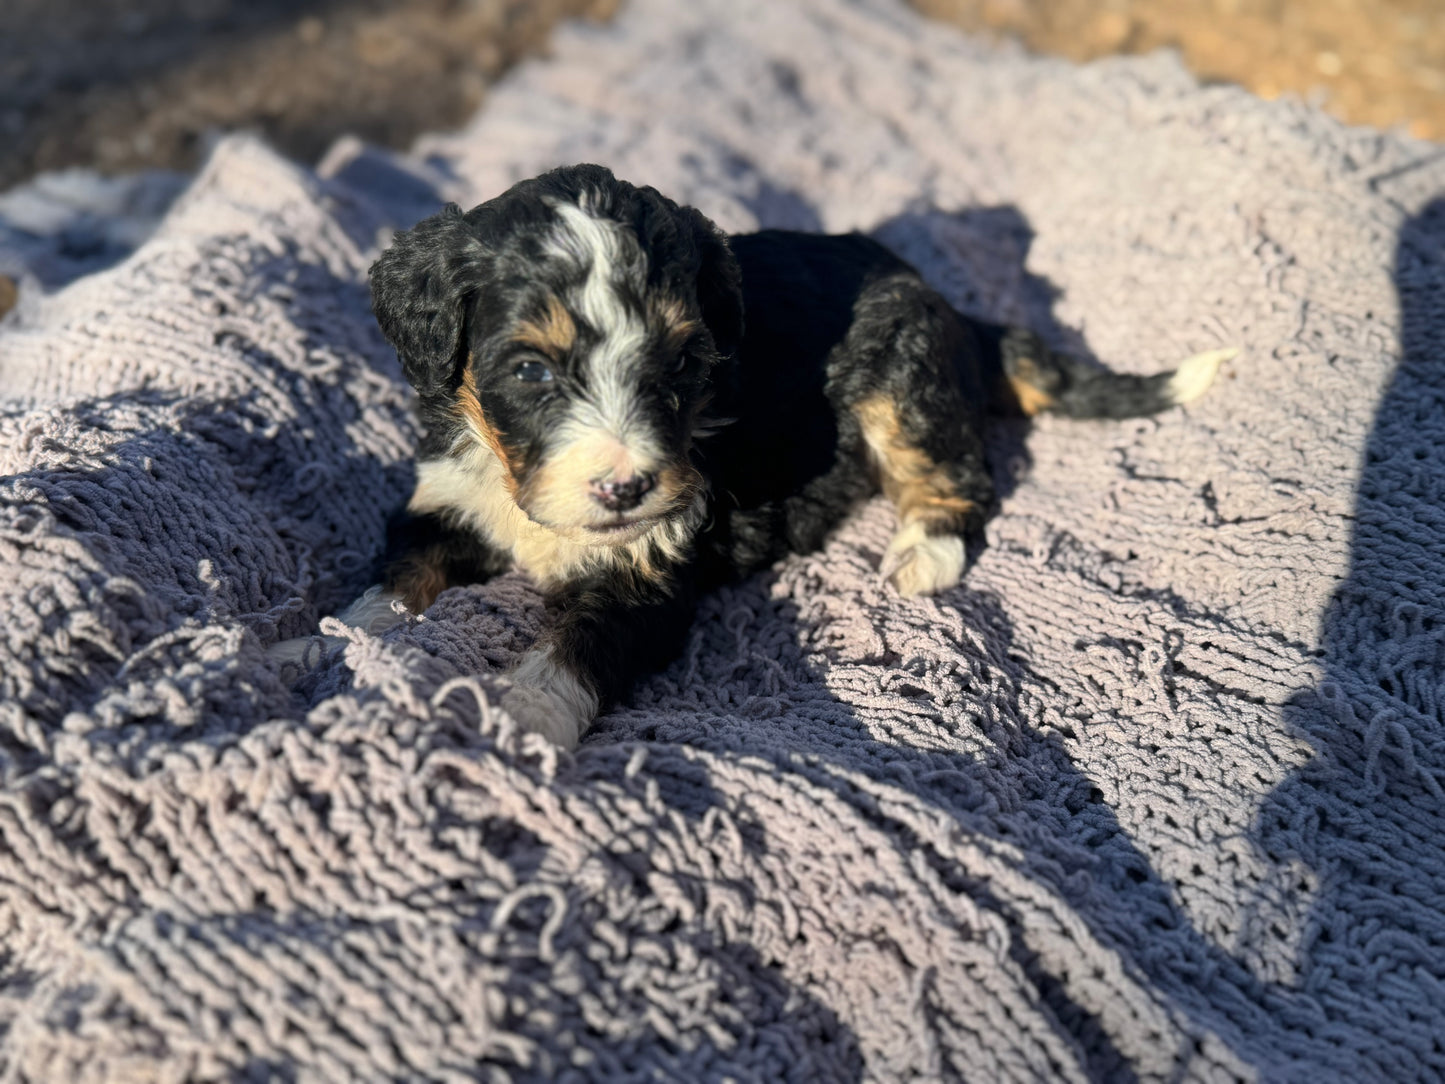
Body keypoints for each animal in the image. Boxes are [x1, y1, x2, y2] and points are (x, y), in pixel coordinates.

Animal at [355, 165, 1225, 751]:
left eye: (682, 362)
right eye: (531, 371)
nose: (627, 486)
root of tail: (944, 303)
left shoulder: (650, 567)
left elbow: (577, 647)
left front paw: (520, 716)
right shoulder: (446, 496)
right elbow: (397, 579)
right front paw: (349, 639)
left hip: (901, 383)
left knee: (957, 475)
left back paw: (923, 553)